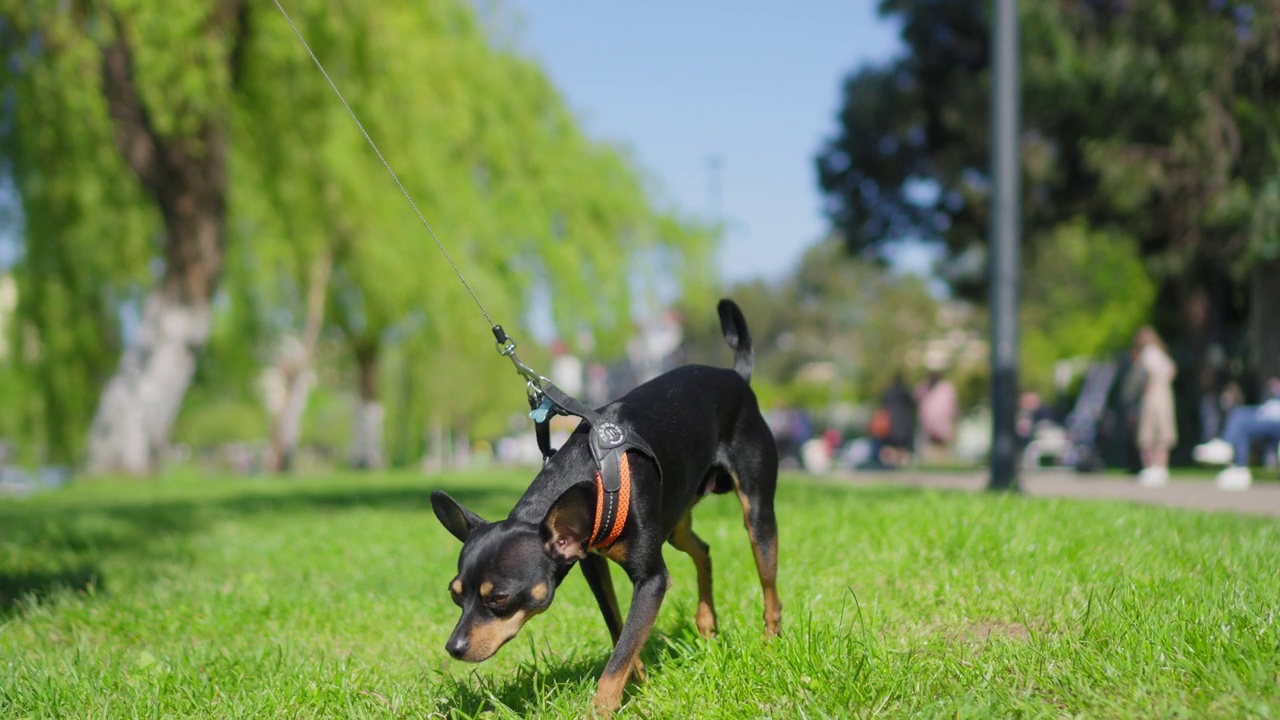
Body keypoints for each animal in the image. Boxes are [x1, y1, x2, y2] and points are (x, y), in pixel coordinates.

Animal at [430, 295, 778, 707]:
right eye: (456, 596)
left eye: (499, 598)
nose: (453, 647)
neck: (593, 476)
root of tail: (738, 376)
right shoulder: (593, 566)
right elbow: (620, 634)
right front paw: (639, 688)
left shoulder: (651, 581)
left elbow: (622, 649)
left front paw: (602, 707)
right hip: (674, 520)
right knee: (703, 550)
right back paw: (707, 624)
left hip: (756, 512)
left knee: (769, 585)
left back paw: (771, 645)